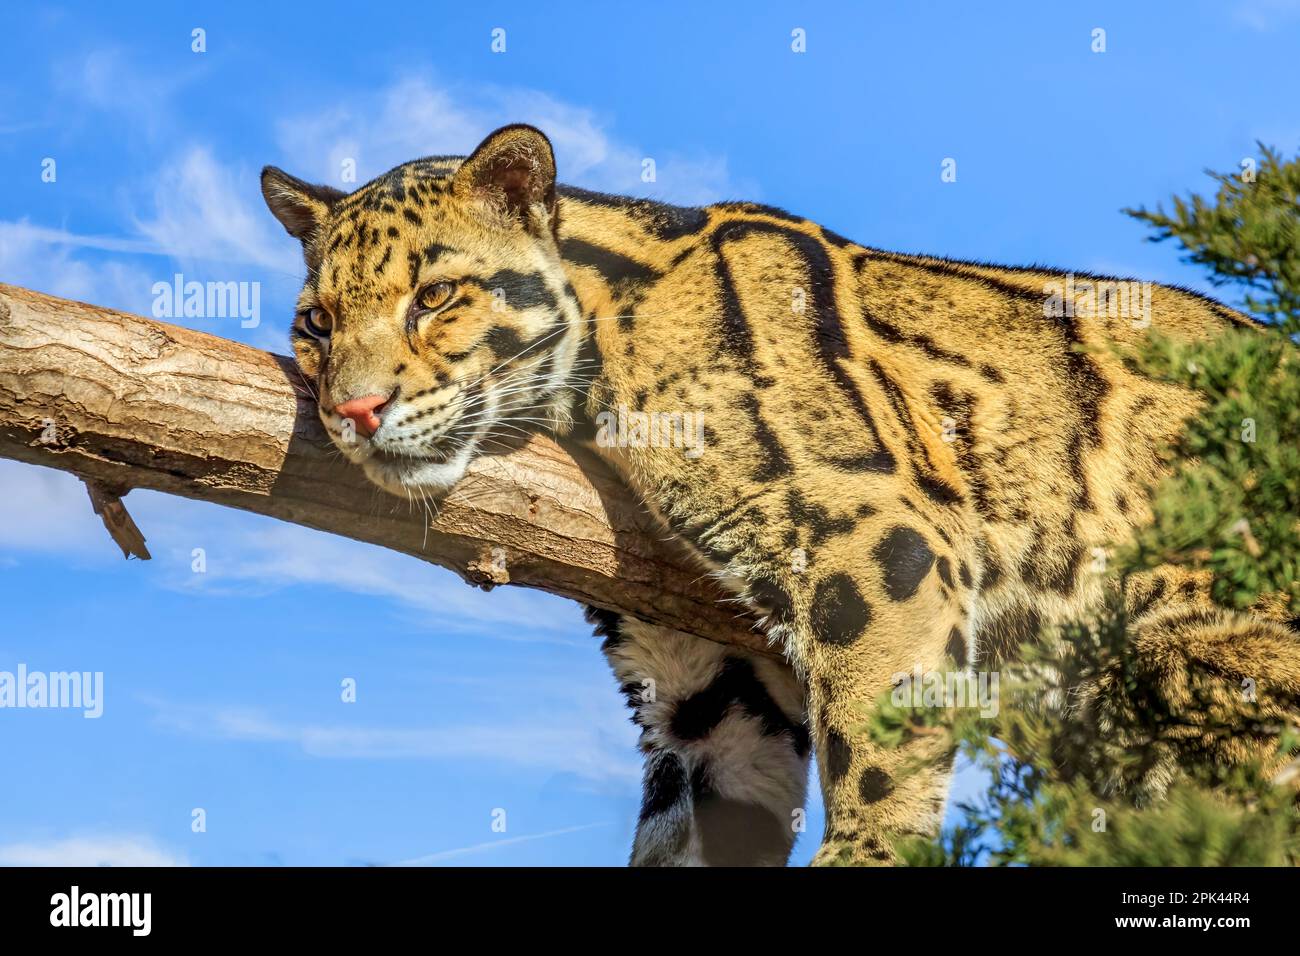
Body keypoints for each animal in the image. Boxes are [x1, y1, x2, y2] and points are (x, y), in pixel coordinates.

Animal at [258, 123, 1300, 863]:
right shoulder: (713, 691)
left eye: (434, 297)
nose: (352, 407)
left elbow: (878, 752)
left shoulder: (874, 533)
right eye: (316, 324)